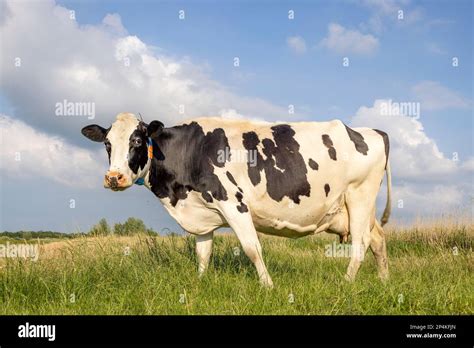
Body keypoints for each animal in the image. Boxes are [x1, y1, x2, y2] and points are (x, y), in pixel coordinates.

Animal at [82, 113, 392, 286]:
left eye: (136, 141)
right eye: (107, 144)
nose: (114, 178)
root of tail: (372, 131)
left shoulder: (233, 203)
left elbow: (252, 248)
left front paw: (268, 286)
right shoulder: (202, 213)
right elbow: (203, 253)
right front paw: (200, 282)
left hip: (359, 195)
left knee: (361, 243)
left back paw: (346, 283)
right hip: (357, 207)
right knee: (377, 239)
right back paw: (384, 281)